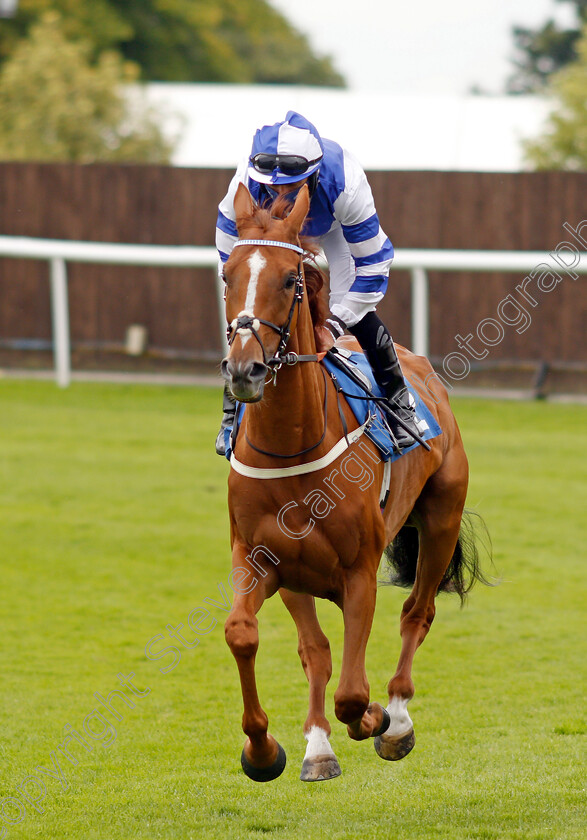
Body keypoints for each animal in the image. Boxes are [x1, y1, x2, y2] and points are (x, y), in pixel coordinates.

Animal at [223, 182, 484, 780]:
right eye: (227, 274)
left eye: (290, 280)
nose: (245, 369)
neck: (291, 445)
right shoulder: (265, 560)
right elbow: (253, 636)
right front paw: (265, 749)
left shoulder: (359, 572)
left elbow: (352, 693)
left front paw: (377, 719)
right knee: (319, 650)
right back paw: (319, 745)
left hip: (441, 518)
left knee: (418, 612)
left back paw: (397, 718)